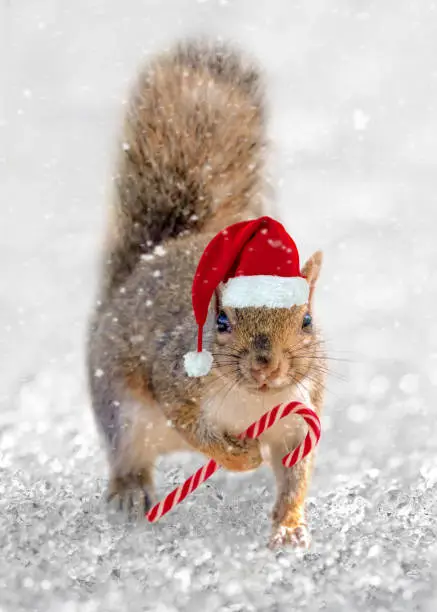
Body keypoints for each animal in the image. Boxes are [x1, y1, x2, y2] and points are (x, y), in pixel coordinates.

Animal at [87, 39, 324, 548]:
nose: (267, 365)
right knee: (128, 456)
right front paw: (244, 457)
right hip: (123, 412)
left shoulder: (300, 416)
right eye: (221, 321)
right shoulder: (175, 386)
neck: (252, 402)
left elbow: (296, 475)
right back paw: (129, 493)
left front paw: (290, 527)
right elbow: (201, 433)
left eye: (307, 320)